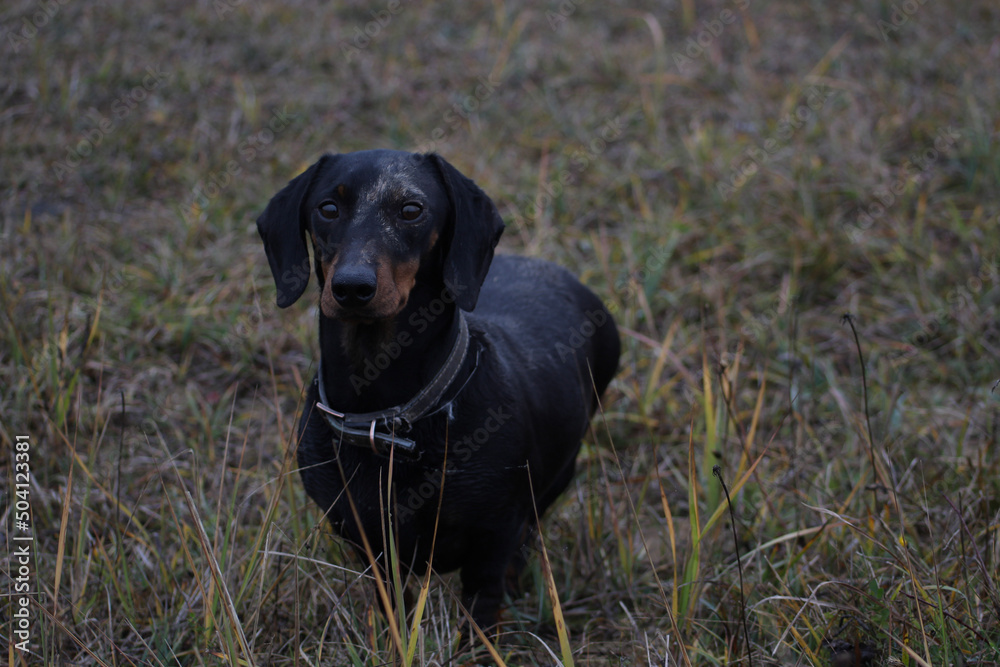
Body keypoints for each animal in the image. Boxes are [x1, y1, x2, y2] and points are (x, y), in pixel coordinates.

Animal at [256, 150, 616, 632]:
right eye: (327, 208)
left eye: (412, 209)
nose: (351, 287)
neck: (387, 417)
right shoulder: (367, 544)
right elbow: (394, 607)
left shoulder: (492, 538)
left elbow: (482, 610)